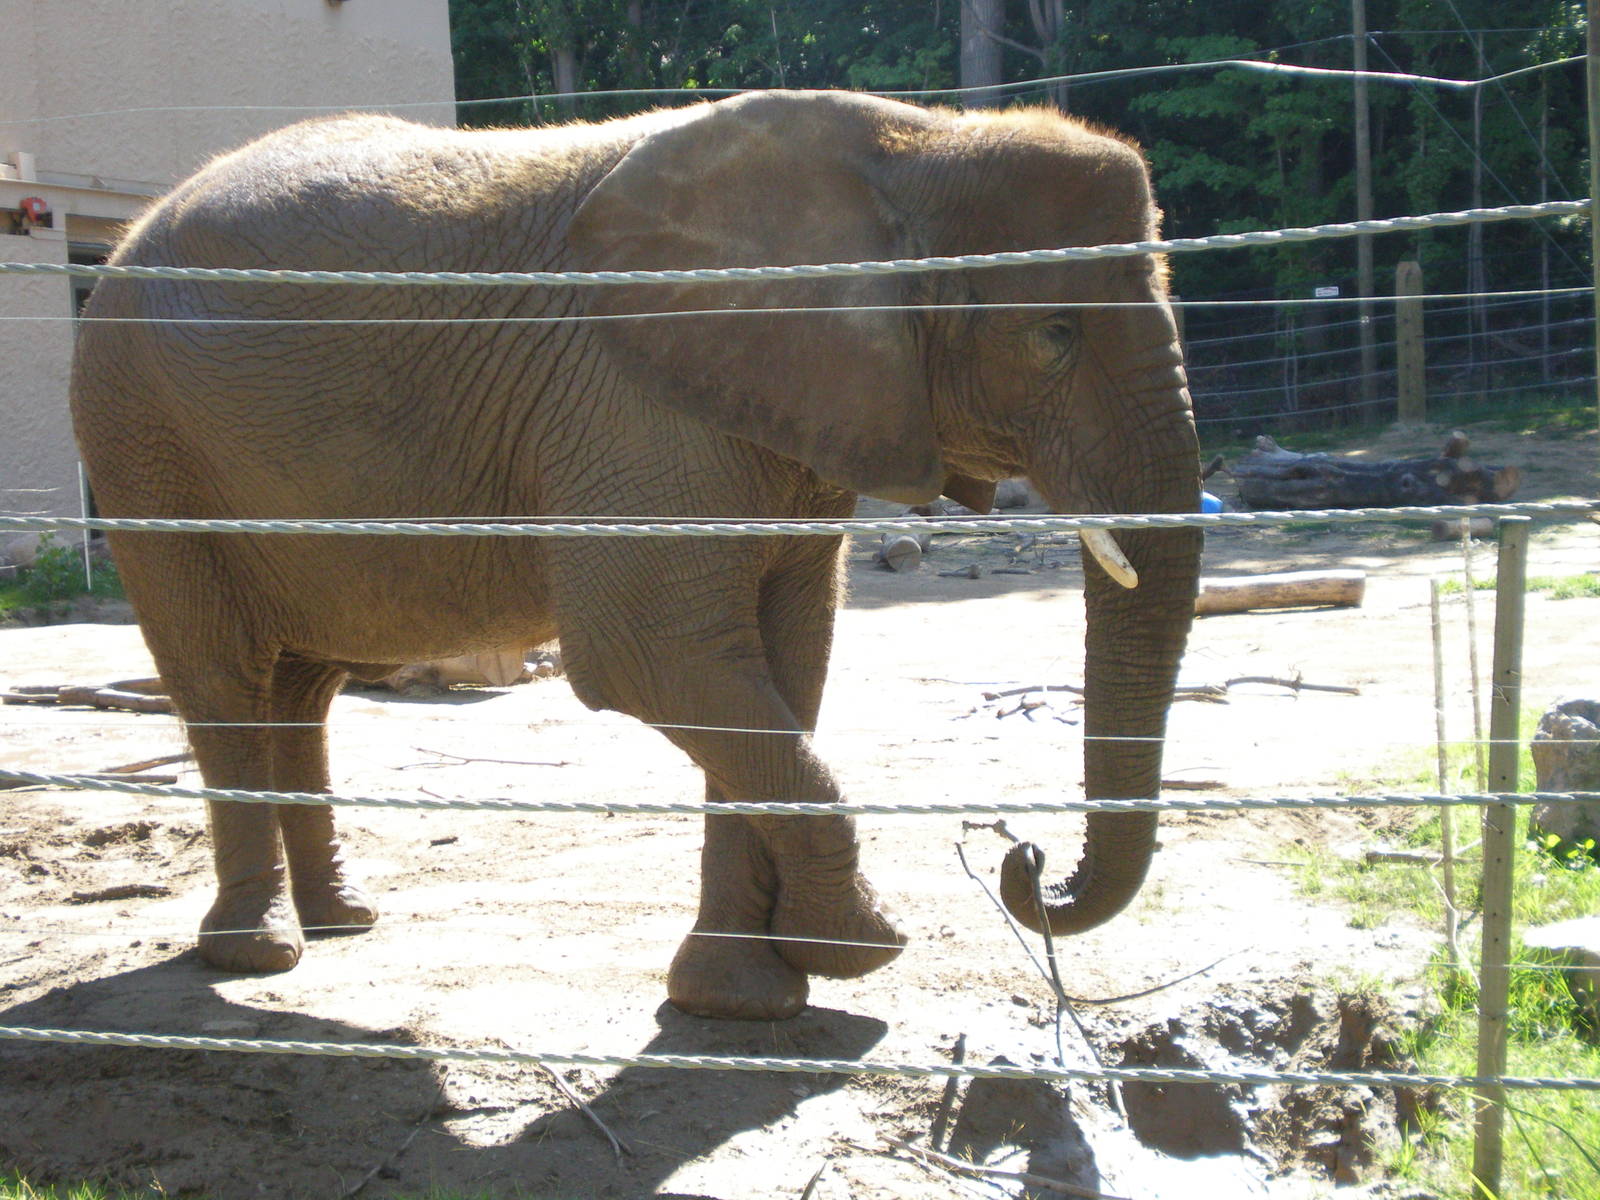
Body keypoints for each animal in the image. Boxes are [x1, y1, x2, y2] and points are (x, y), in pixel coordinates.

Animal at [70, 90, 1202, 1022]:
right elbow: (653, 656)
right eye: (1054, 335)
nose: (1027, 860)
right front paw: (859, 951)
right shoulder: (636, 408)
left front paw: (741, 1002)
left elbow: (779, 671)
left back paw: (345, 921)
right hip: (138, 436)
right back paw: (257, 957)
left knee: (304, 687)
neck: (921, 140)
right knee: (222, 678)